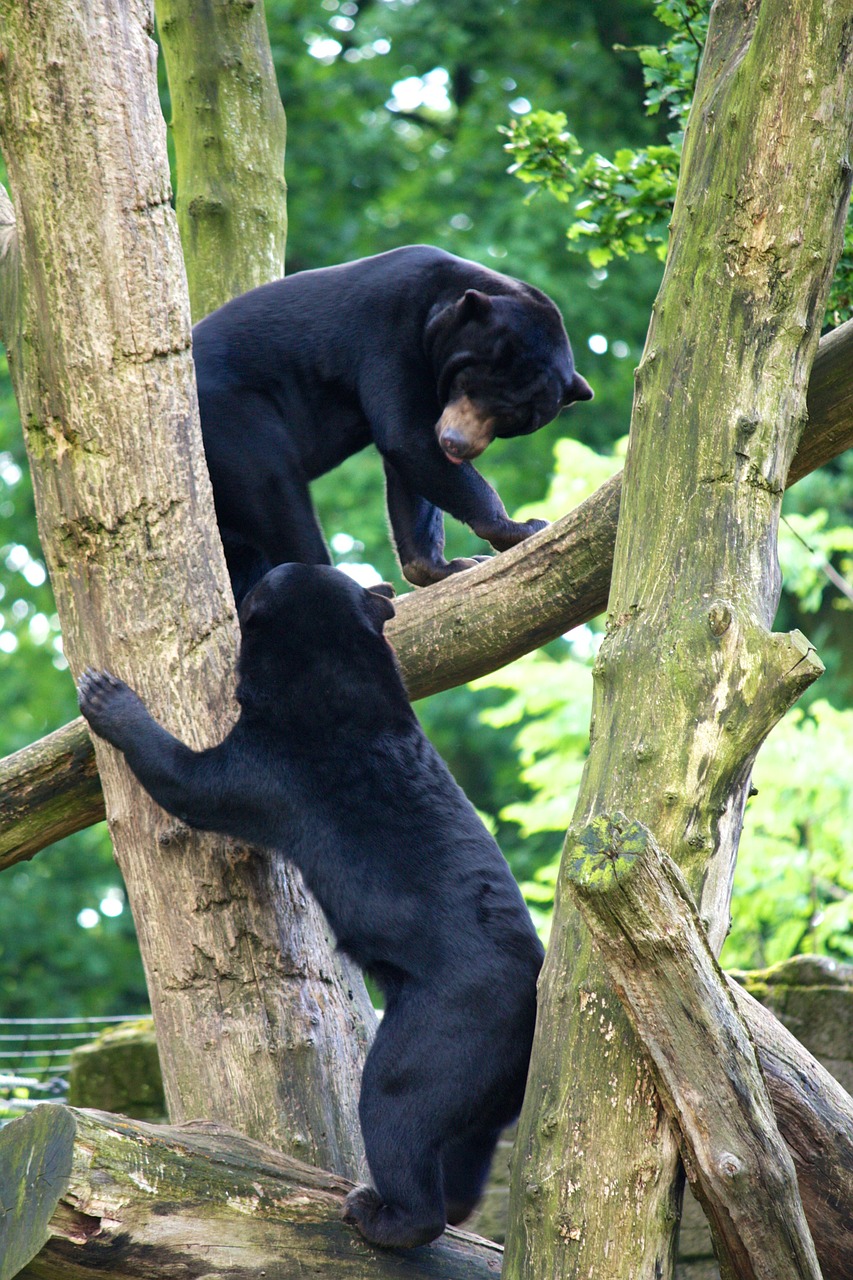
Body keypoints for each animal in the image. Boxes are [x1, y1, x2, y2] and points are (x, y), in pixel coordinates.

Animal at [192, 245, 591, 604]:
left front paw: (448, 566)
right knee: (278, 496)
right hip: (233, 418)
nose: (456, 443)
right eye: (467, 384)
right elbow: (408, 438)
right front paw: (521, 527)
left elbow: (412, 471)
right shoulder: (388, 335)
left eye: (512, 419)